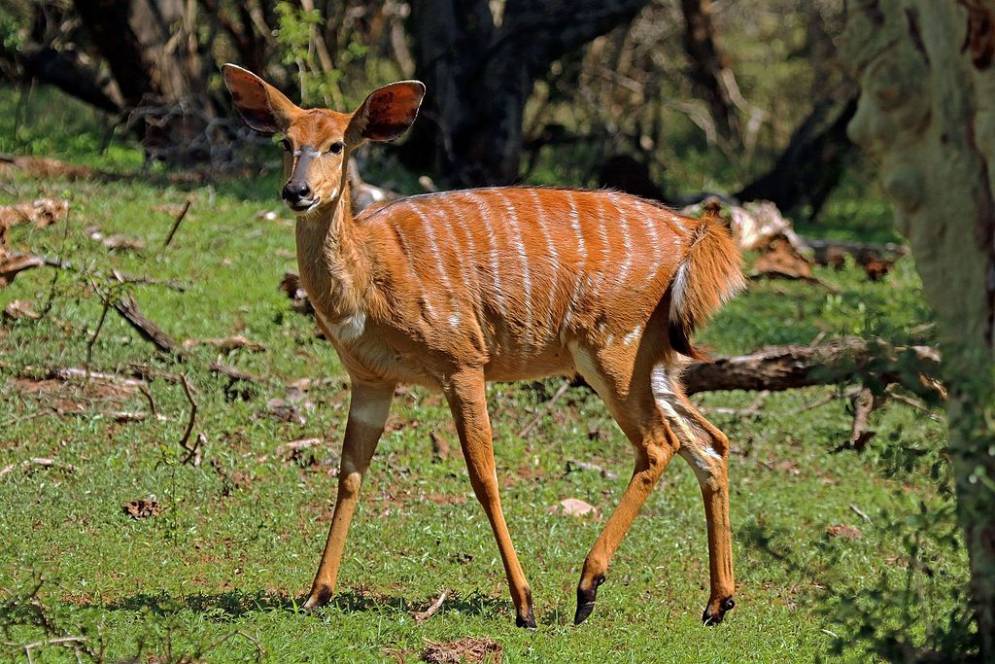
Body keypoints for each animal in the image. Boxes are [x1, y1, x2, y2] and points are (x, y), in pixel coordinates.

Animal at [222, 65, 744, 632]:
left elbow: (484, 476)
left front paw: (525, 605)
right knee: (709, 442)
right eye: (285, 141)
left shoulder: (463, 362)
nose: (296, 191)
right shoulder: (371, 380)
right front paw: (316, 594)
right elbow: (349, 473)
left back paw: (587, 588)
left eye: (338, 144)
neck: (369, 275)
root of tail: (696, 233)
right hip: (656, 363)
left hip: (611, 350)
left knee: (658, 444)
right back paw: (717, 603)